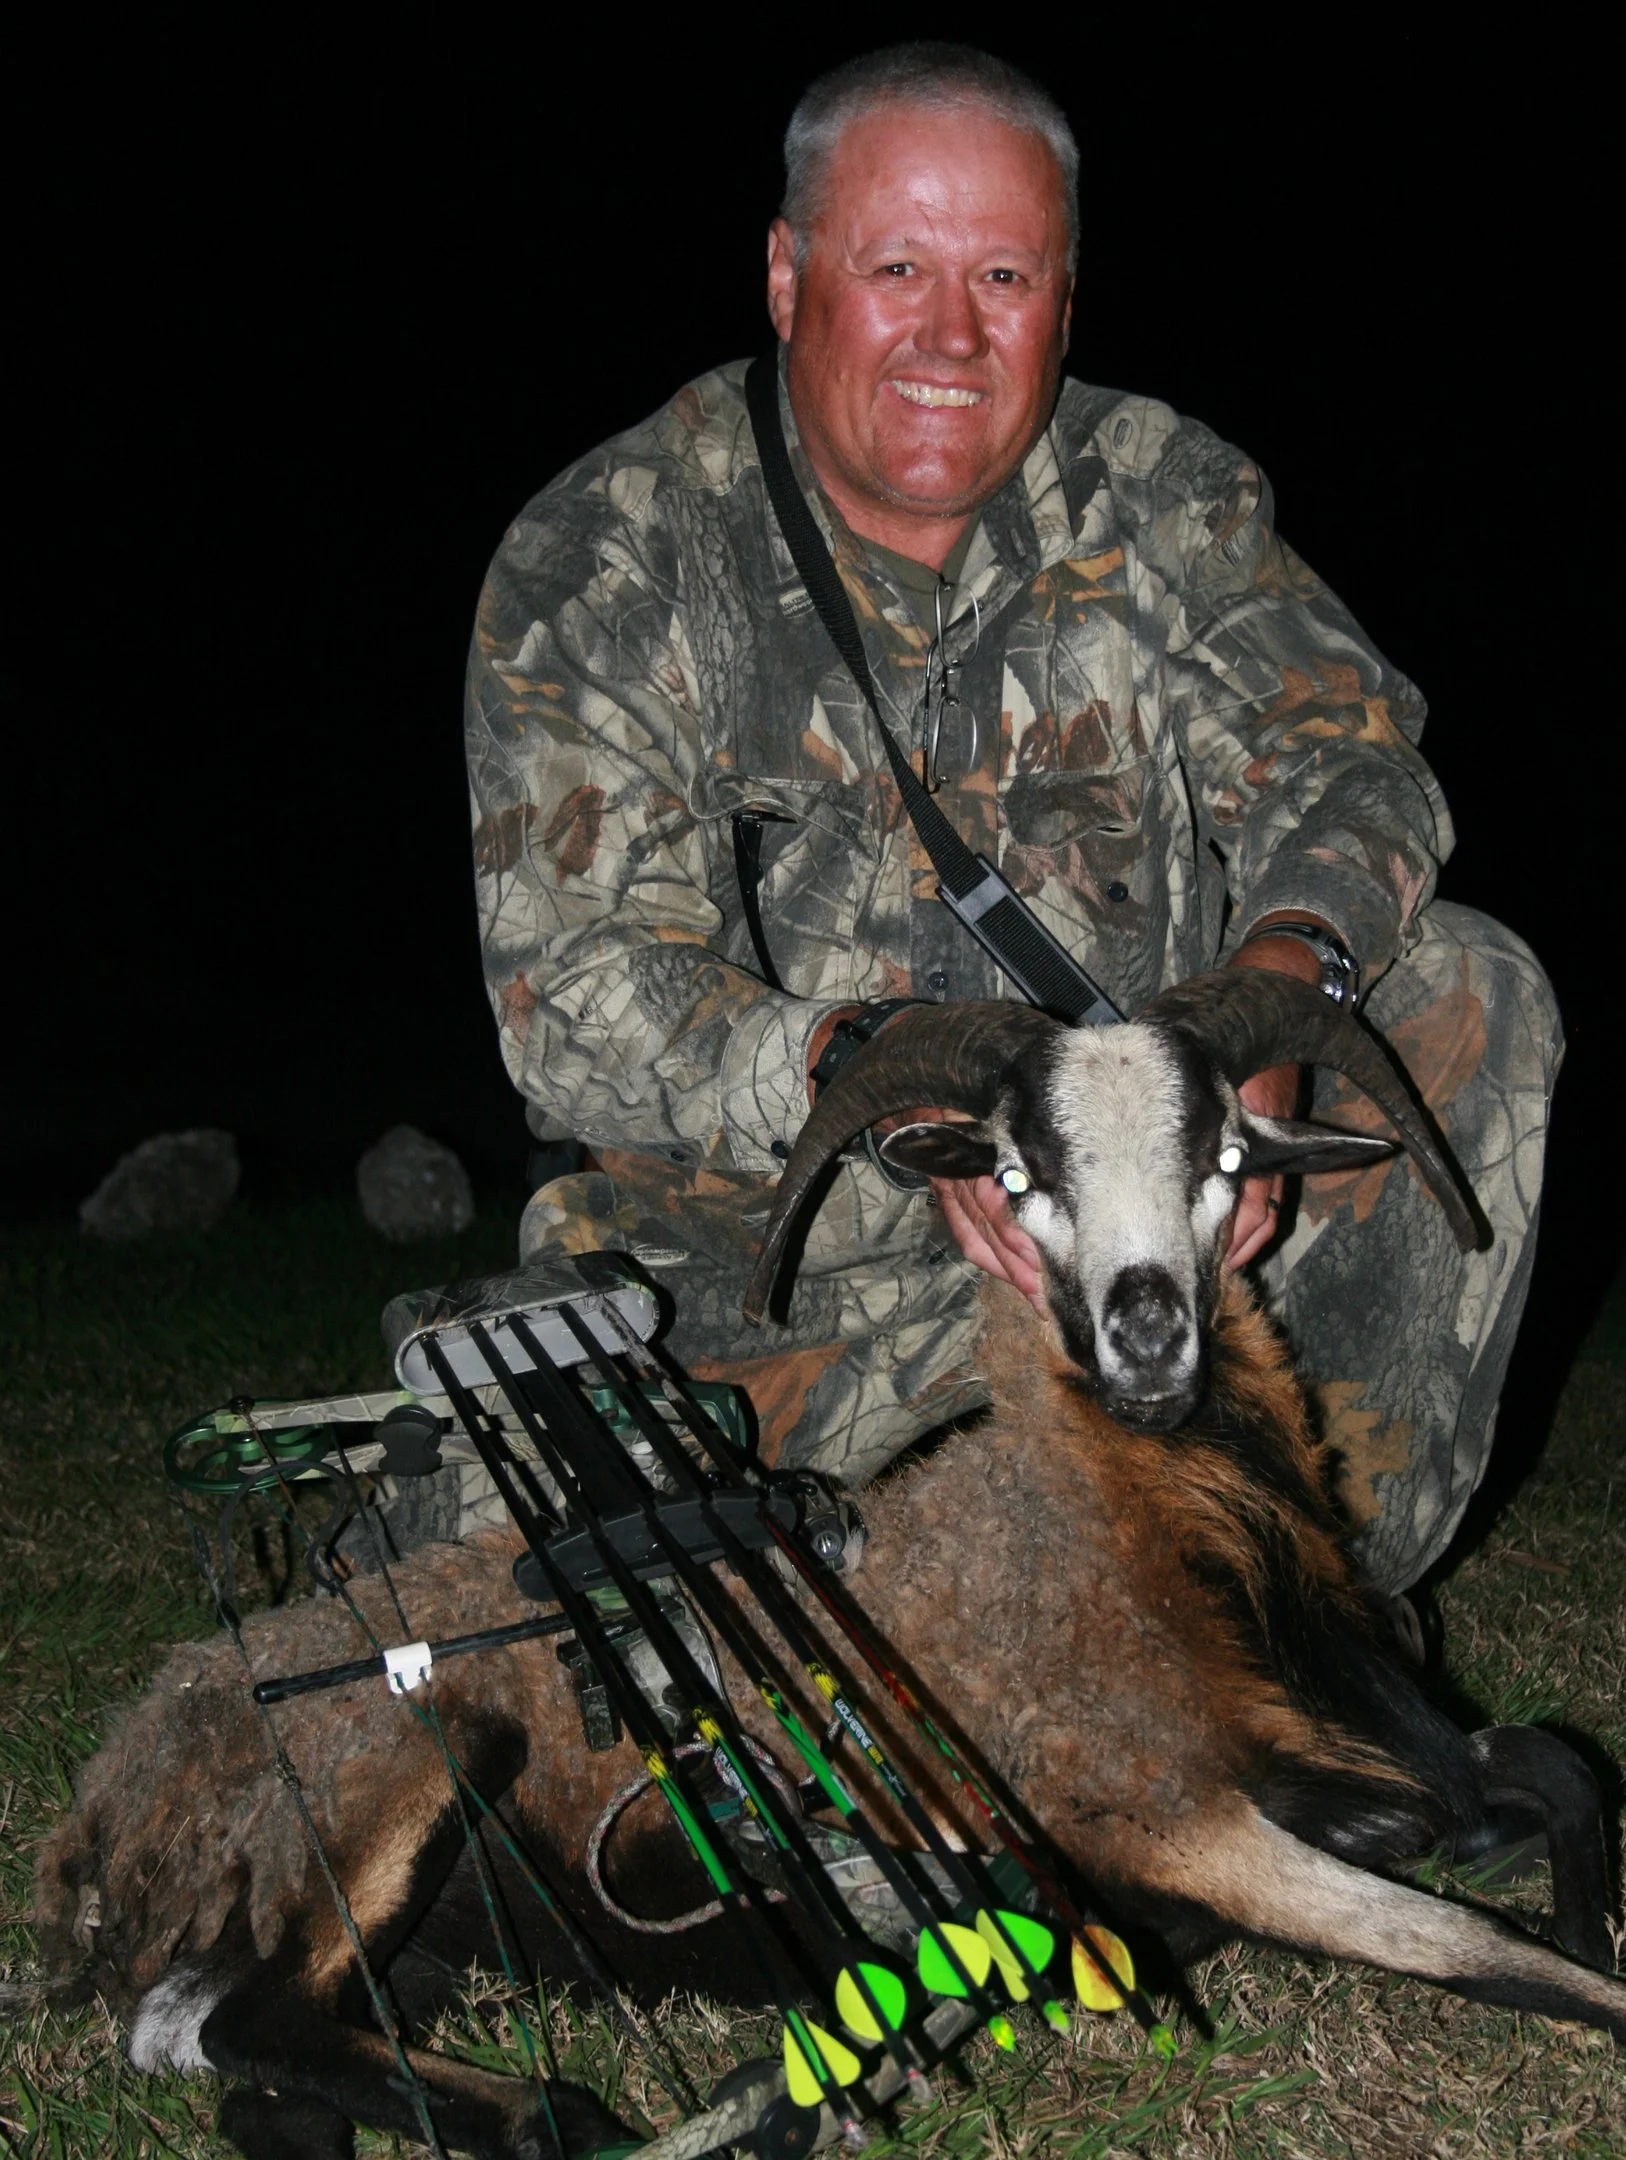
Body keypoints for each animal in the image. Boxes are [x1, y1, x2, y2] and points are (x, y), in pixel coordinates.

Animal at [34, 971, 1626, 2160]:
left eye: (1226, 1156)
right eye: (1017, 1175)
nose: (1147, 1331)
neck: (1134, 1544)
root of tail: (123, 1785)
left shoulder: (1373, 1733)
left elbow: (1546, 1770)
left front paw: (1567, 1890)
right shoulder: (1165, 1818)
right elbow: (1499, 1956)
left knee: (254, 2071)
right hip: (404, 1763)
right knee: (243, 2022)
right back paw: (578, 2116)